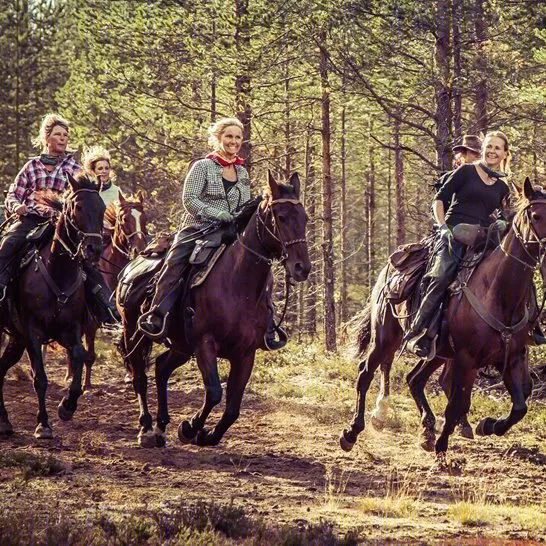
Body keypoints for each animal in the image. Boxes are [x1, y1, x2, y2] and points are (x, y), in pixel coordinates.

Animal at [0, 174, 104, 438]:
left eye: (102, 208)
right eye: (77, 207)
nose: (94, 249)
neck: (57, 271)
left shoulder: (71, 330)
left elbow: (79, 356)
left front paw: (67, 407)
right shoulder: (33, 334)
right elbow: (40, 379)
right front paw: (43, 425)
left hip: (15, 339)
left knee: (0, 369)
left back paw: (5, 422)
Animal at [65, 190, 148, 386]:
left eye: (145, 218)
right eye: (124, 219)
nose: (139, 250)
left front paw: (130, 373)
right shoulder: (91, 322)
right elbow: (89, 354)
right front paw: (86, 385)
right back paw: (70, 375)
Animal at [116, 171, 308, 446]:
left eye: (305, 218)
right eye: (280, 217)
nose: (302, 268)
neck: (238, 286)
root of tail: (131, 265)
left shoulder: (245, 354)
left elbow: (232, 409)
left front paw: (206, 435)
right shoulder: (204, 344)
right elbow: (215, 392)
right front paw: (189, 428)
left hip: (181, 345)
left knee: (162, 368)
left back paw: (162, 426)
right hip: (133, 332)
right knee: (139, 376)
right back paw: (146, 428)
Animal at [338, 180, 540, 454]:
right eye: (535, 215)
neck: (498, 293)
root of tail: (387, 268)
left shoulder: (514, 358)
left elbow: (520, 406)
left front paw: (487, 426)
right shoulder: (467, 359)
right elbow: (457, 403)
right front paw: (443, 447)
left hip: (438, 351)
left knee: (414, 379)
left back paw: (427, 429)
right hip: (385, 337)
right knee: (366, 373)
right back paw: (352, 432)